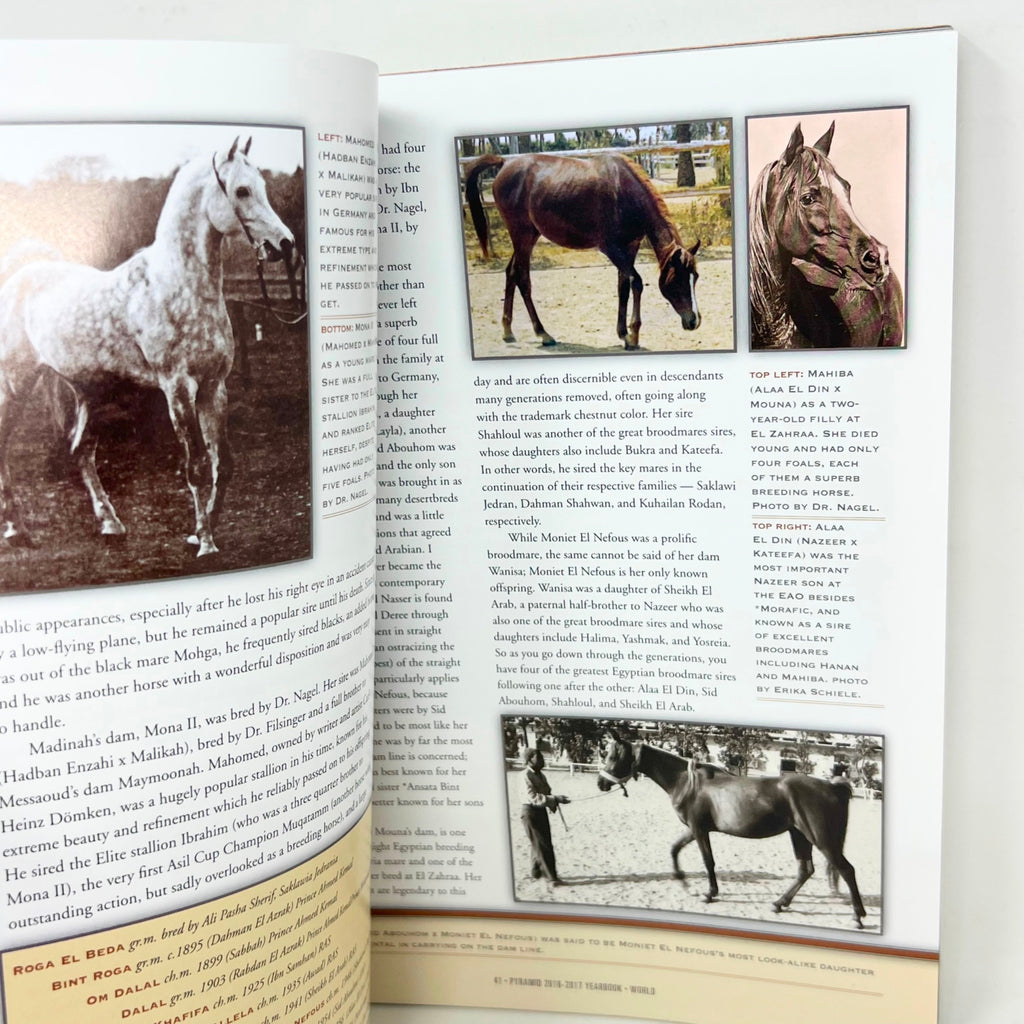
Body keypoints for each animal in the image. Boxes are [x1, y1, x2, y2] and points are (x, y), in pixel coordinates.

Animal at [0, 136, 296, 557]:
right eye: (241, 190)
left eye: (263, 186)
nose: (283, 245)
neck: (178, 286)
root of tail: (20, 276)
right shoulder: (177, 388)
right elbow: (196, 465)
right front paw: (205, 543)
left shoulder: (214, 387)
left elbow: (224, 463)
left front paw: (203, 529)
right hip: (16, 385)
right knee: (6, 449)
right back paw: (16, 529)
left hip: (90, 391)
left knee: (81, 450)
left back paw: (110, 523)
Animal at [464, 152, 700, 349]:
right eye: (677, 279)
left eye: (695, 277)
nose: (694, 321)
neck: (622, 189)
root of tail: (505, 163)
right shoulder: (612, 249)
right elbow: (637, 283)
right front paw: (633, 335)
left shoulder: (630, 248)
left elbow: (623, 286)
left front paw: (623, 333)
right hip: (521, 235)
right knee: (522, 279)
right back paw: (543, 334)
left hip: (528, 236)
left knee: (511, 273)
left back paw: (507, 330)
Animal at [598, 739, 867, 927]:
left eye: (613, 756)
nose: (601, 783)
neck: (688, 782)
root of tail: (833, 786)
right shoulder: (695, 829)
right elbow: (674, 849)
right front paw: (682, 880)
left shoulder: (699, 829)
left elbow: (708, 861)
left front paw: (709, 893)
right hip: (799, 835)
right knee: (806, 870)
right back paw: (779, 903)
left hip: (820, 838)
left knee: (846, 870)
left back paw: (858, 916)